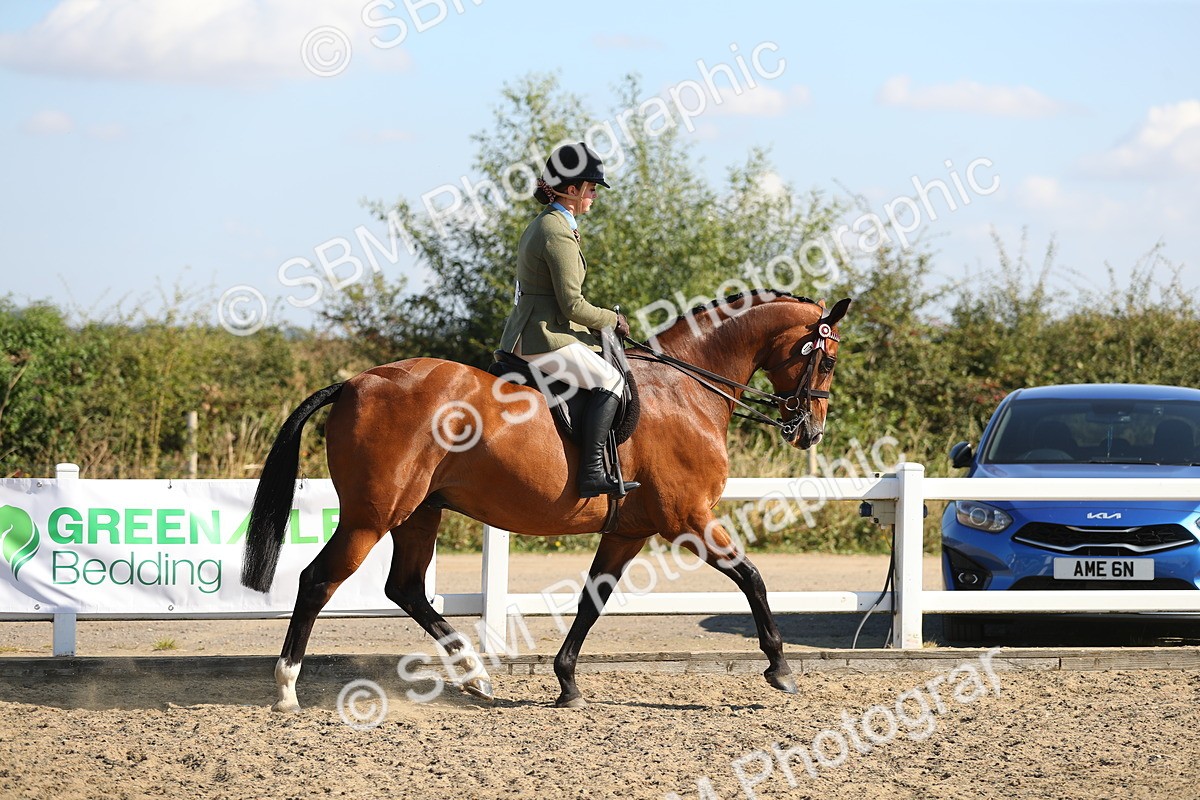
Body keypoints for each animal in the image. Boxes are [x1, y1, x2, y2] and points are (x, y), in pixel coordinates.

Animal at [241, 290, 851, 710]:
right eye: (826, 361)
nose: (810, 431)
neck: (685, 391)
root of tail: (353, 383)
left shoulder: (628, 530)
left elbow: (591, 601)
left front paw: (566, 681)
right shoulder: (689, 518)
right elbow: (752, 578)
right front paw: (780, 668)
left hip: (420, 511)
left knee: (406, 588)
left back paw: (476, 677)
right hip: (372, 516)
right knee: (318, 581)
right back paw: (287, 688)